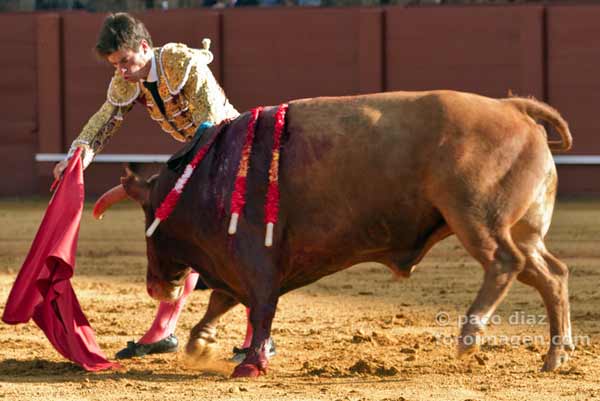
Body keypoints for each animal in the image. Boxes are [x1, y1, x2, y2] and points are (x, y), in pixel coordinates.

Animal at [95, 90, 573, 377]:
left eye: (147, 217)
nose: (155, 285)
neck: (205, 175)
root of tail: (512, 108)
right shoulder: (238, 263)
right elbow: (222, 301)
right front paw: (200, 344)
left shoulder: (255, 257)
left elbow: (257, 307)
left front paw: (250, 364)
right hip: (523, 227)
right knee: (552, 274)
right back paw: (555, 354)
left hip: (475, 217)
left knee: (505, 263)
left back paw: (470, 336)